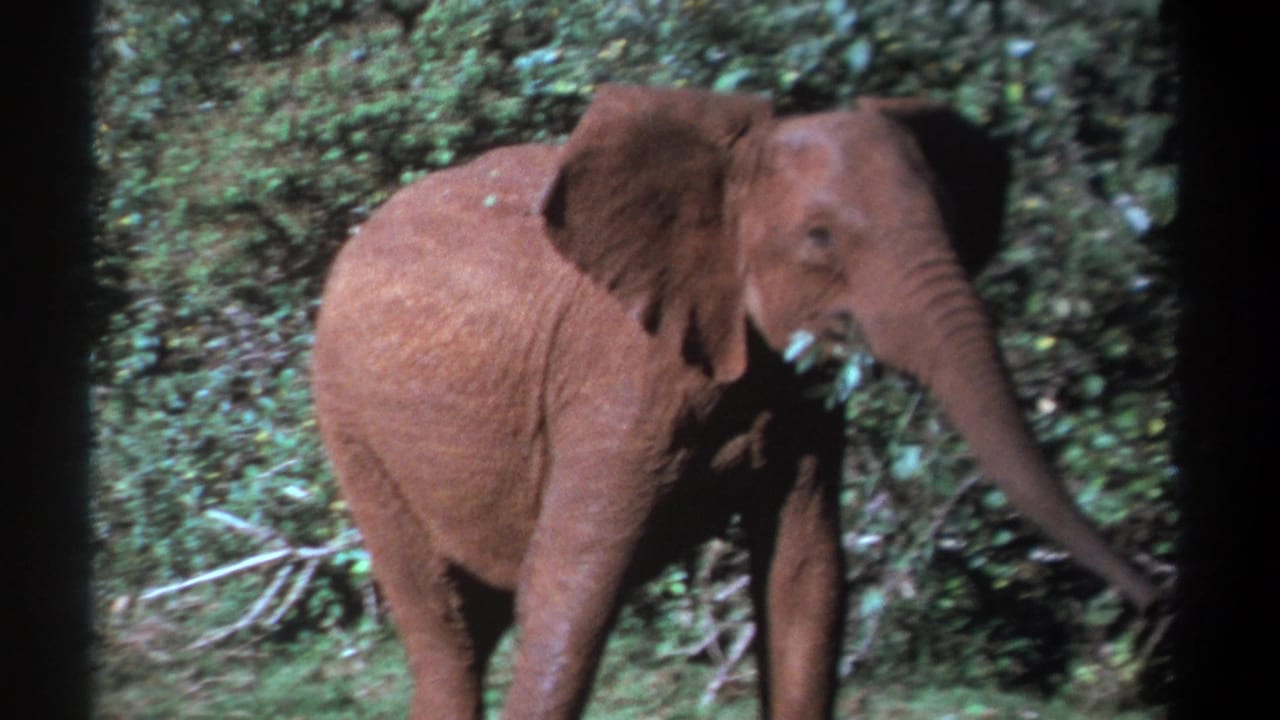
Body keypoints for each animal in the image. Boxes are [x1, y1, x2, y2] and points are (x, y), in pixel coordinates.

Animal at [311, 84, 1157, 719]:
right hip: (350, 424)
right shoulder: (618, 369)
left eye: (951, 219)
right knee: (445, 632)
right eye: (820, 238)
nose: (1153, 597)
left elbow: (807, 578)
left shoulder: (803, 398)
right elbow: (572, 584)